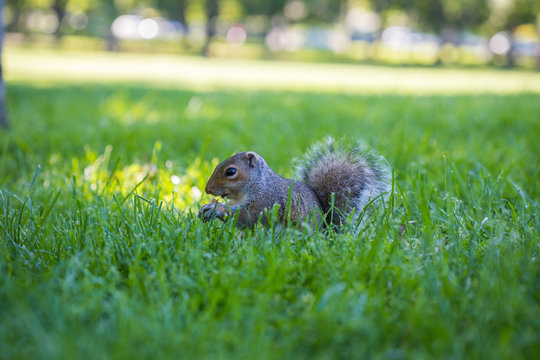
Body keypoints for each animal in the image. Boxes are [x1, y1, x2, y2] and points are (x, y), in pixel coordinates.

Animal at [197, 136, 388, 229]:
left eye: (231, 171)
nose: (207, 189)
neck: (257, 183)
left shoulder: (267, 200)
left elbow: (249, 216)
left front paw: (215, 208)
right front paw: (205, 208)